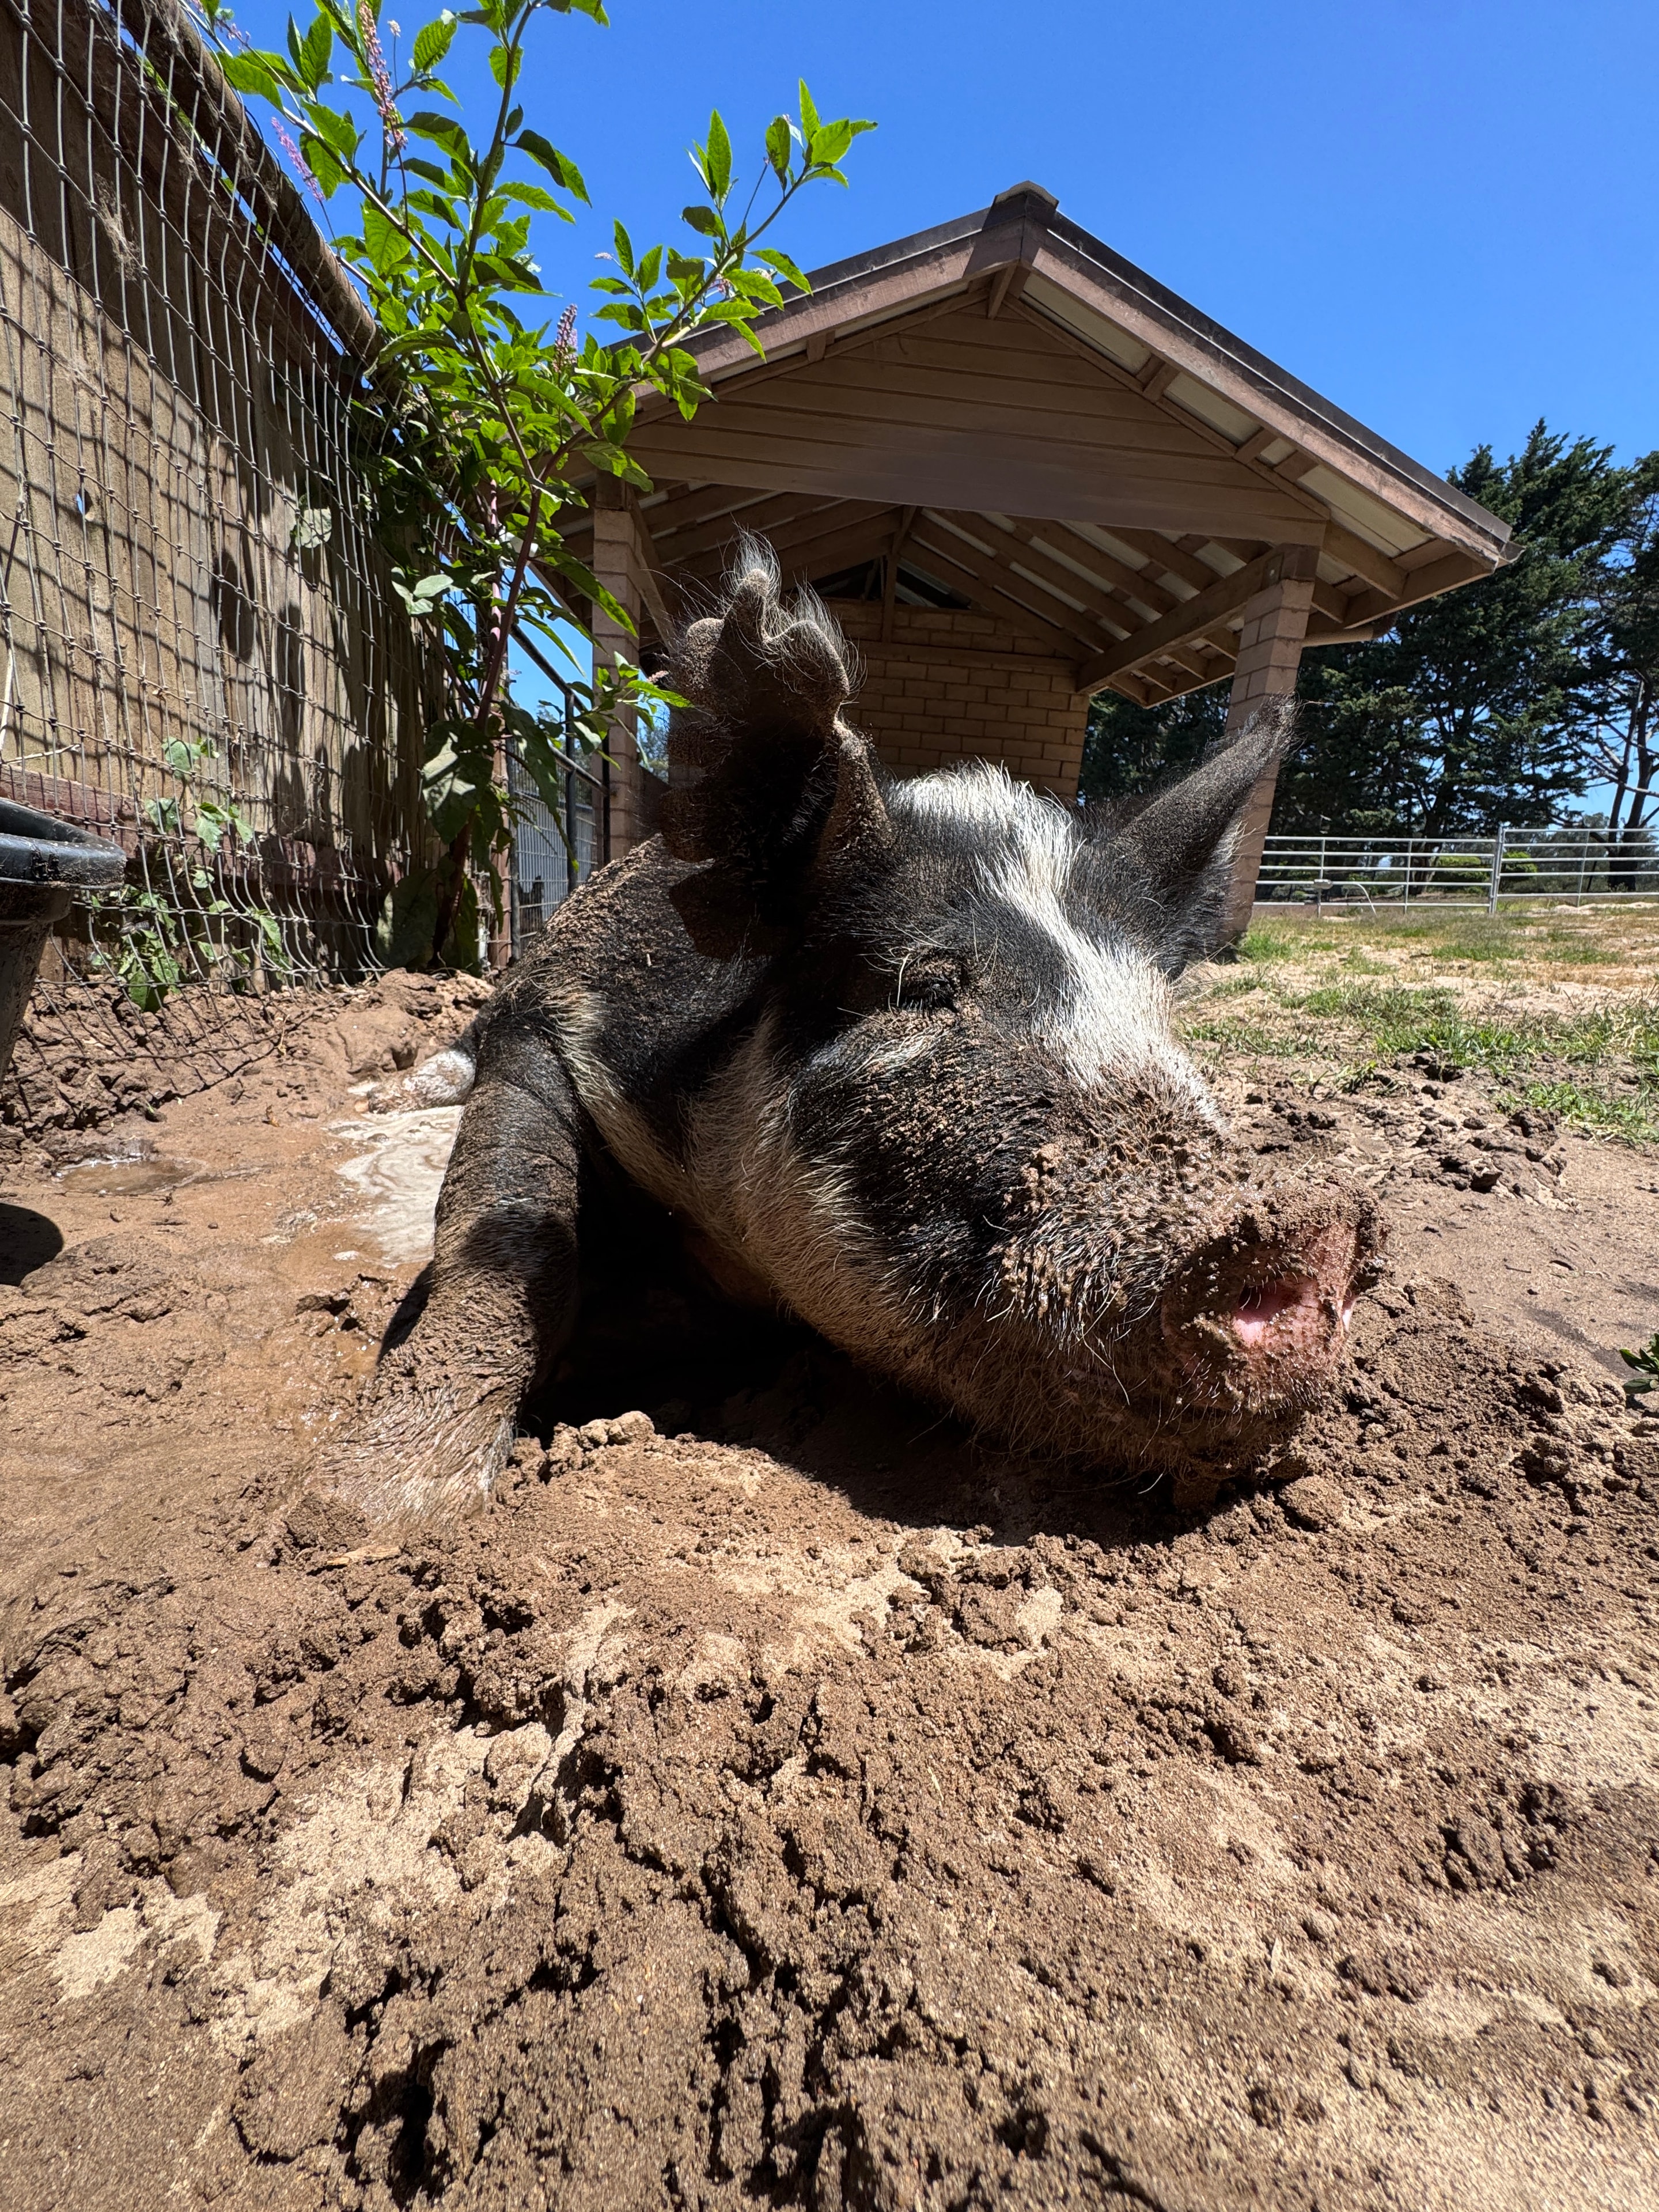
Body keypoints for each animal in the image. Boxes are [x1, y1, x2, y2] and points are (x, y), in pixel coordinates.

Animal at [319, 542, 1382, 1525]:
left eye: (1158, 1001)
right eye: (922, 987)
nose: (1304, 1224)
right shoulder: (557, 1032)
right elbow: (505, 1240)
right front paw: (375, 1519)